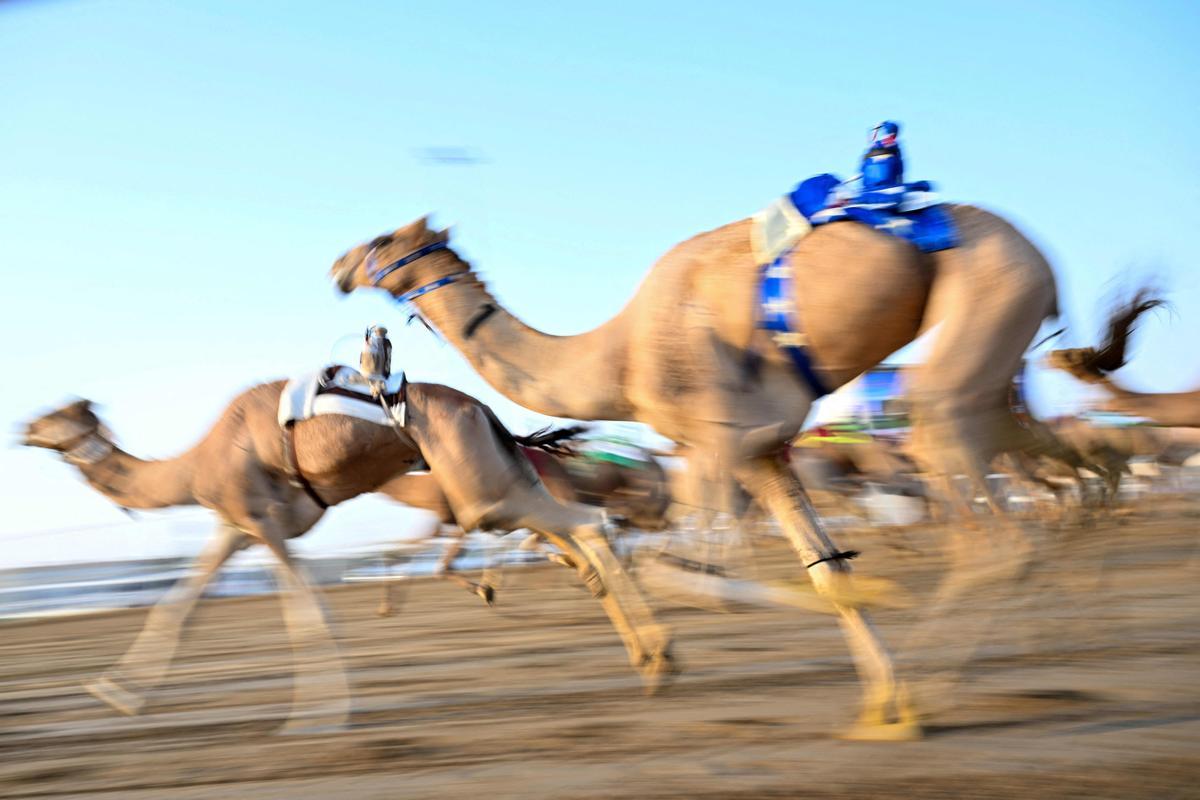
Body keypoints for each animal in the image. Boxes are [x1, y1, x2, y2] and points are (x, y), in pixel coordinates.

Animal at [23, 386, 676, 734]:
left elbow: (307, 615)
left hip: (482, 492)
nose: (24, 427)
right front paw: (114, 691)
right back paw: (649, 657)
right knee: (581, 534)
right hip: (498, 479)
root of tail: (487, 413)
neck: (191, 468)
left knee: (585, 526)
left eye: (56, 415)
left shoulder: (262, 521)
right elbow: (177, 607)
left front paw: (317, 717)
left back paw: (657, 658)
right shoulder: (235, 527)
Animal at [328, 201, 1070, 738]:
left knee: (995, 531)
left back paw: (936, 695)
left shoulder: (721, 438)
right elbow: (826, 572)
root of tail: (1040, 255)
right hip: (999, 375)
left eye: (383, 239)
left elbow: (684, 573)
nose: (339, 264)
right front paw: (880, 696)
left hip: (985, 304)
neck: (618, 357)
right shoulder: (763, 452)